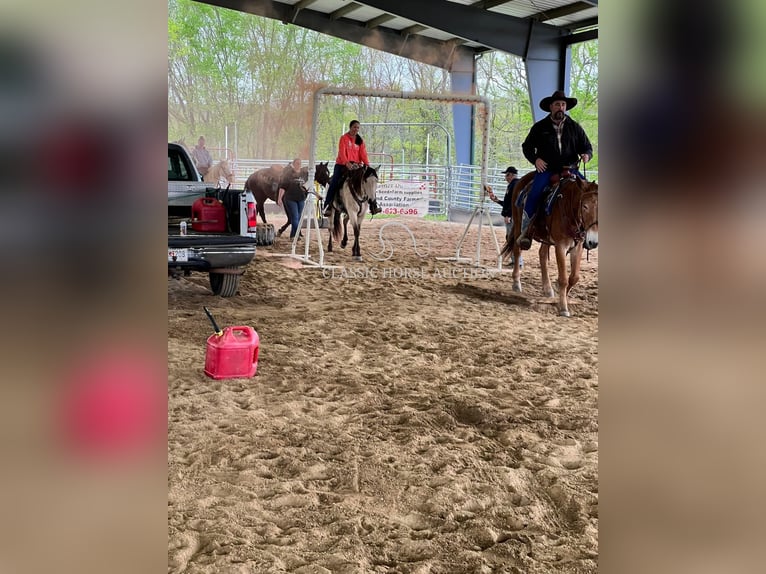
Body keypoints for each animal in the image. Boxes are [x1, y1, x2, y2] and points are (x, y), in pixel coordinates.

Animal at [504, 171, 600, 320]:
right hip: (518, 223)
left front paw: (562, 296)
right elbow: (564, 279)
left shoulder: (577, 246)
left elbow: (574, 277)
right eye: (585, 206)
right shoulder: (560, 246)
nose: (593, 242)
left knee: (542, 255)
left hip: (546, 237)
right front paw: (563, 307)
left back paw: (548, 289)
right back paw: (516, 283)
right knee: (517, 249)